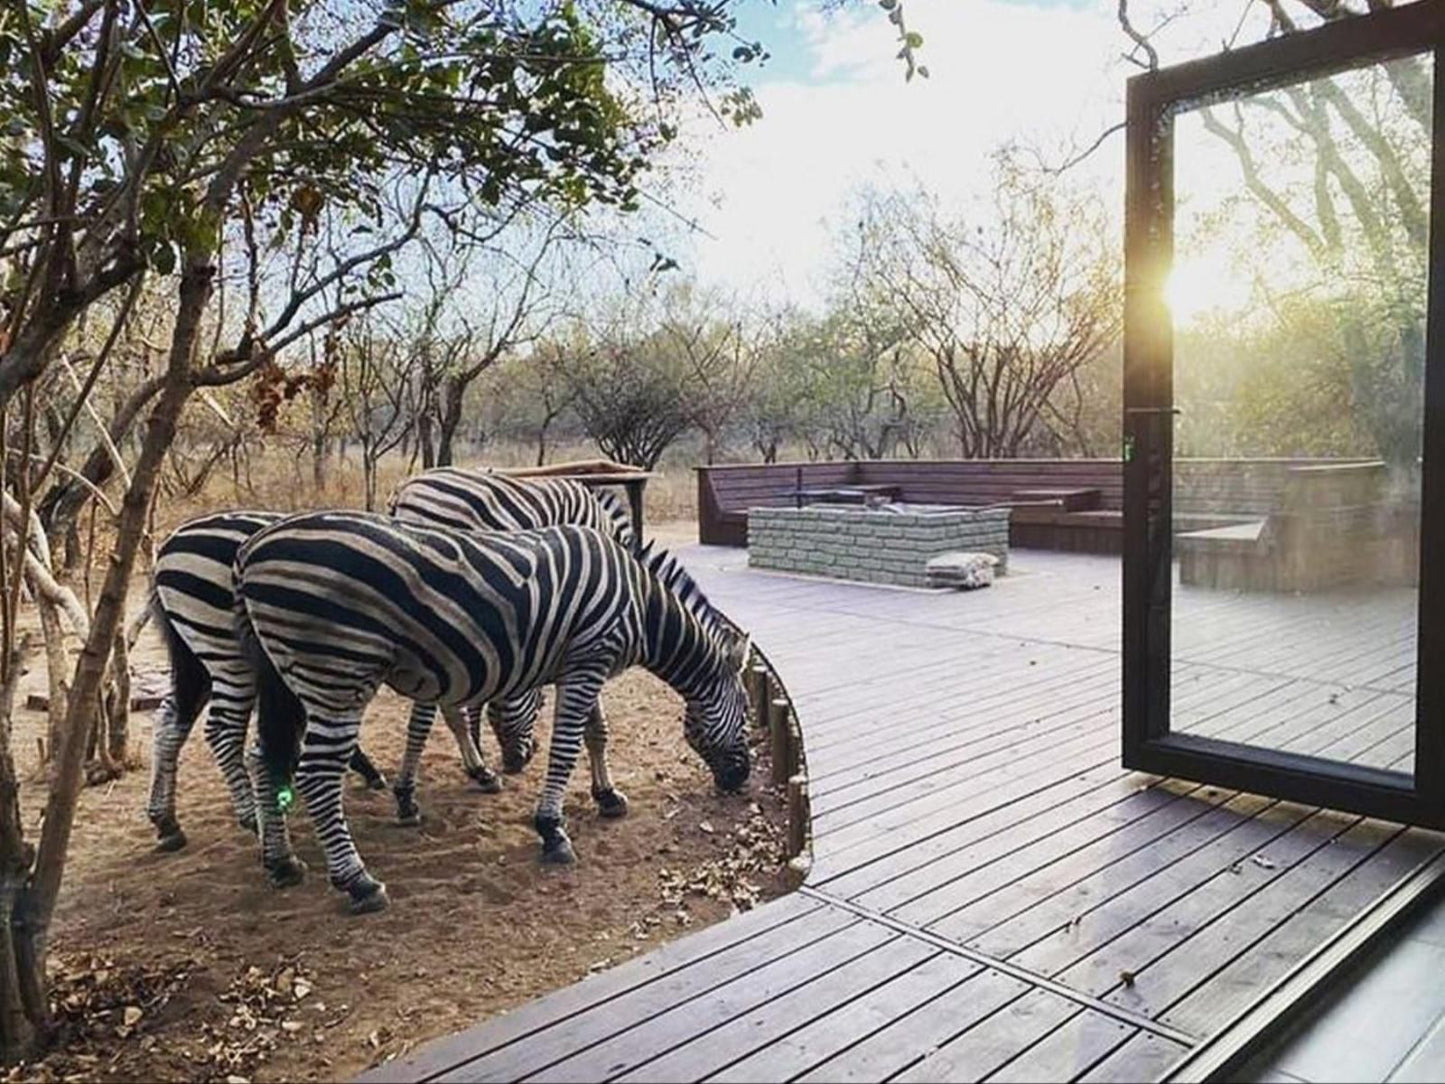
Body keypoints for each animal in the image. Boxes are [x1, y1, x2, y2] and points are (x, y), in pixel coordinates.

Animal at [146, 514, 517, 855]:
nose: (517, 762)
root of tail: (169, 544)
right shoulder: (435, 658)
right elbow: (439, 718)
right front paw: (463, 776)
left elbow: (452, 715)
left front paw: (477, 770)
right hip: (229, 652)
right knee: (221, 730)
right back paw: (252, 817)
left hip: (199, 652)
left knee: (169, 721)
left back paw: (167, 822)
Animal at [231, 517, 751, 919]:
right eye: (747, 715)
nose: (740, 781)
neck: (642, 605)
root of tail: (250, 550)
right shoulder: (589, 658)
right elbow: (566, 749)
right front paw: (552, 830)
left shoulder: (583, 661)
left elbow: (597, 734)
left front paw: (607, 797)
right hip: (338, 671)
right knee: (316, 775)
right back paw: (358, 881)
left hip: (290, 678)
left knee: (264, 758)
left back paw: (281, 862)